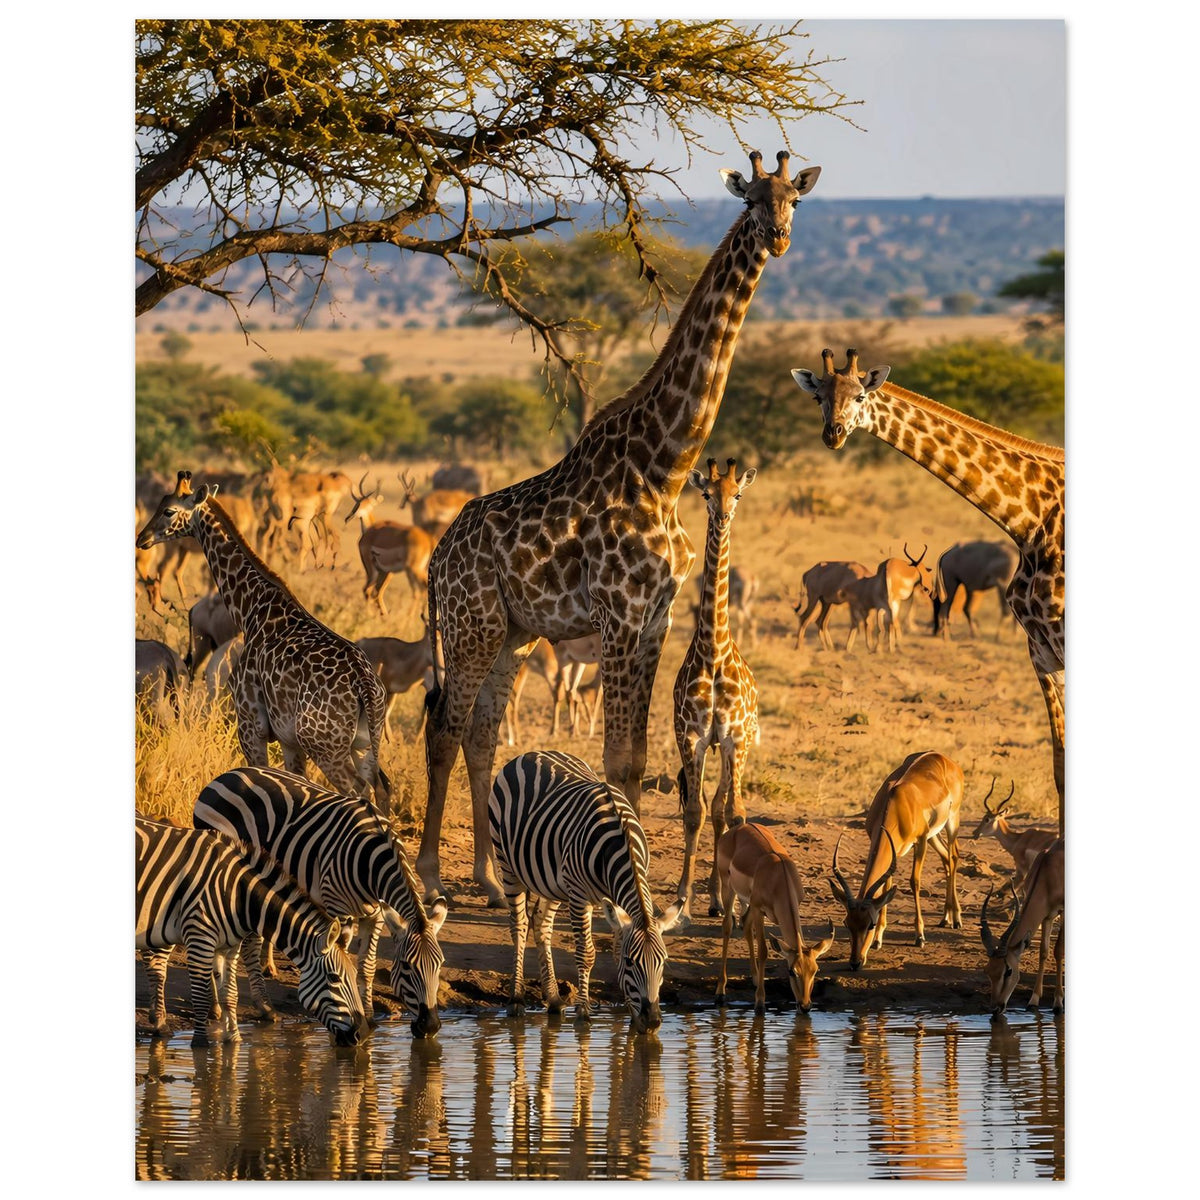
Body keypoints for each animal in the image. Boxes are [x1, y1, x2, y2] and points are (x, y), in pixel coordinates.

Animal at [135, 816, 366, 1047]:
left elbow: (230, 994)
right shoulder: (199, 936)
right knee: (156, 963)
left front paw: (234, 1039)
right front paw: (201, 1044)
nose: (361, 1035)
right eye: (334, 978)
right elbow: (200, 996)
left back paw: (159, 1022)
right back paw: (160, 1021)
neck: (238, 894)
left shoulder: (228, 946)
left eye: (354, 976)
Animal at [193, 766, 447, 1038]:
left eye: (439, 965)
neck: (372, 860)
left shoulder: (376, 914)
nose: (430, 1027)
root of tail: (227, 774)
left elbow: (367, 967)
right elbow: (344, 958)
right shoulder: (338, 908)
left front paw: (369, 1015)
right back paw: (249, 1007)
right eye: (407, 967)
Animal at [488, 750, 686, 1033]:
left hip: (553, 882)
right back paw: (516, 1000)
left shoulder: (614, 901)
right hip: (508, 864)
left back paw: (554, 999)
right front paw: (583, 1012)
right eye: (631, 963)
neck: (620, 843)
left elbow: (615, 949)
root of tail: (531, 753)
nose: (652, 1022)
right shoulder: (580, 896)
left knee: (541, 923)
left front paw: (630, 1014)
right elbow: (587, 953)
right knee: (519, 926)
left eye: (663, 962)